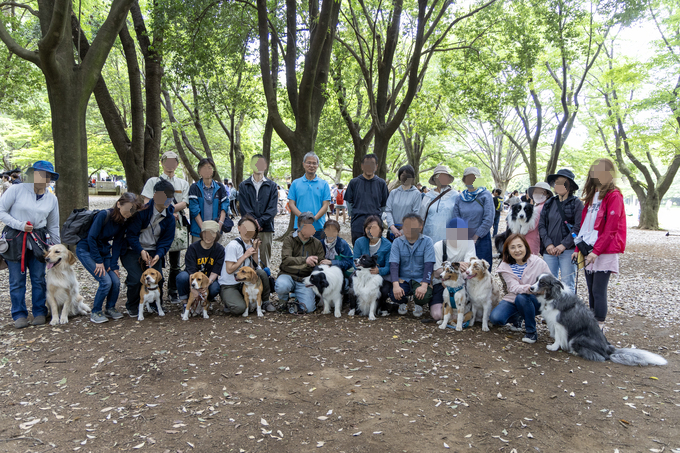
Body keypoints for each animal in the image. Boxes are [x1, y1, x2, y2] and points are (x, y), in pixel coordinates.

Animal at [530, 274, 667, 366]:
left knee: (601, 357)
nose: (530, 288)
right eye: (536, 280)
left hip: (578, 337)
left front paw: (553, 347)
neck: (553, 296)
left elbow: (559, 338)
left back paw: (575, 352)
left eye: (542, 282)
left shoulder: (560, 324)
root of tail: (608, 348)